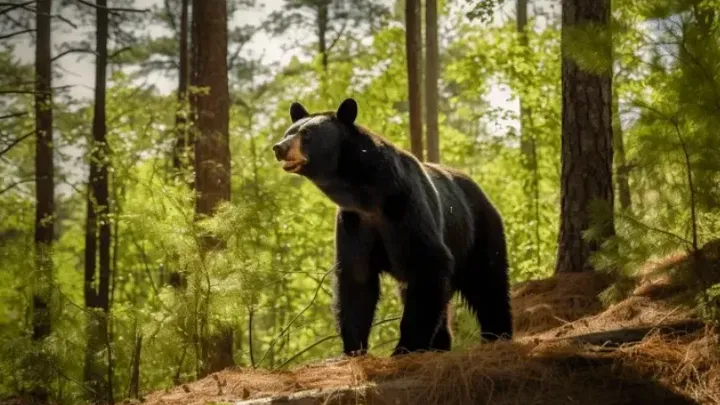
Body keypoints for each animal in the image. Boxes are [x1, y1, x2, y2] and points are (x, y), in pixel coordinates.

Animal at [272, 98, 512, 356]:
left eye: (307, 134)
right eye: (289, 132)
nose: (279, 147)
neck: (368, 196)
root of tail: (480, 190)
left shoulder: (406, 208)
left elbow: (428, 262)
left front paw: (405, 346)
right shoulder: (354, 223)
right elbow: (356, 280)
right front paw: (353, 347)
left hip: (478, 229)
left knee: (488, 281)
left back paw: (497, 335)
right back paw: (441, 344)